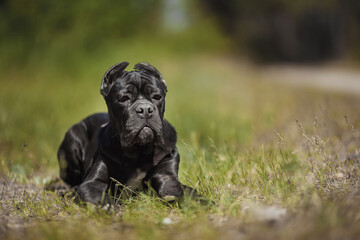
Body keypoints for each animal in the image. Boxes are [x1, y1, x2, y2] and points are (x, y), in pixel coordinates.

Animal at [57, 61, 198, 204]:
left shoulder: (167, 172)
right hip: (73, 141)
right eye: (123, 98)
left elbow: (176, 188)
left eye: (157, 97)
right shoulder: (93, 181)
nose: (145, 109)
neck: (139, 152)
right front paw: (108, 206)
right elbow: (94, 191)